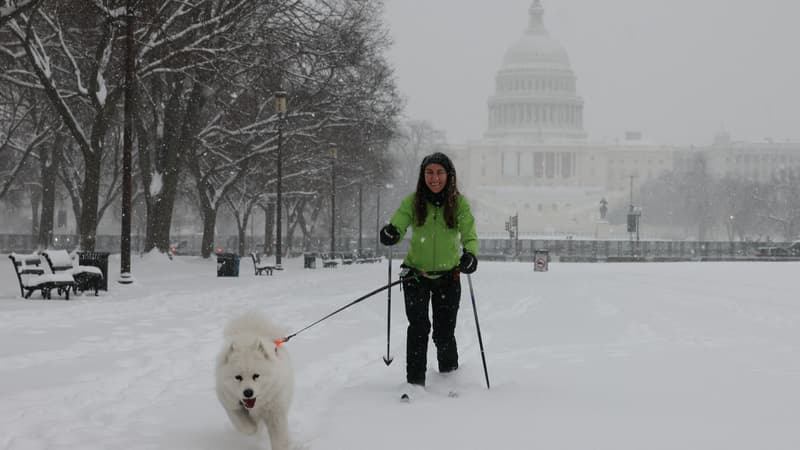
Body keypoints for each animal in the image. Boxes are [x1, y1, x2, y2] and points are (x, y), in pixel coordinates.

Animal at [216, 312, 294, 450]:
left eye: (256, 376)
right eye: (238, 377)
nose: (248, 393)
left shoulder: (275, 412)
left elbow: (279, 439)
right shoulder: (230, 404)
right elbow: (246, 426)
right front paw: (253, 428)